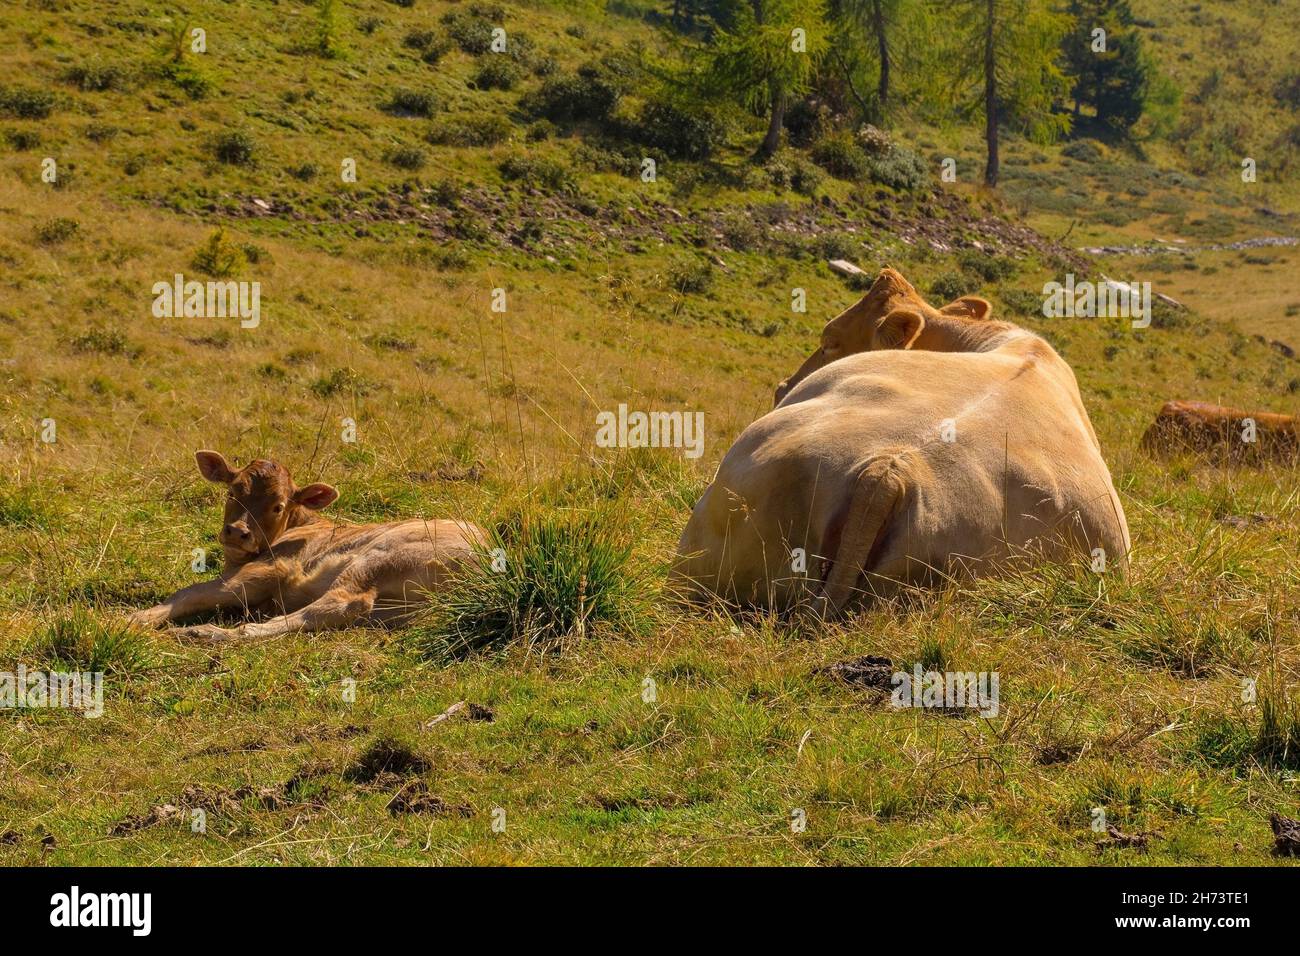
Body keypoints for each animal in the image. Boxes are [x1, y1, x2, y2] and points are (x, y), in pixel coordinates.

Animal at [130, 452, 488, 647]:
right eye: (232, 491)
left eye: (278, 506)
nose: (238, 532)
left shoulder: (272, 568)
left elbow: (189, 592)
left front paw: (136, 618)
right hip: (399, 611)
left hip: (380, 557)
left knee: (342, 603)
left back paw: (207, 633)